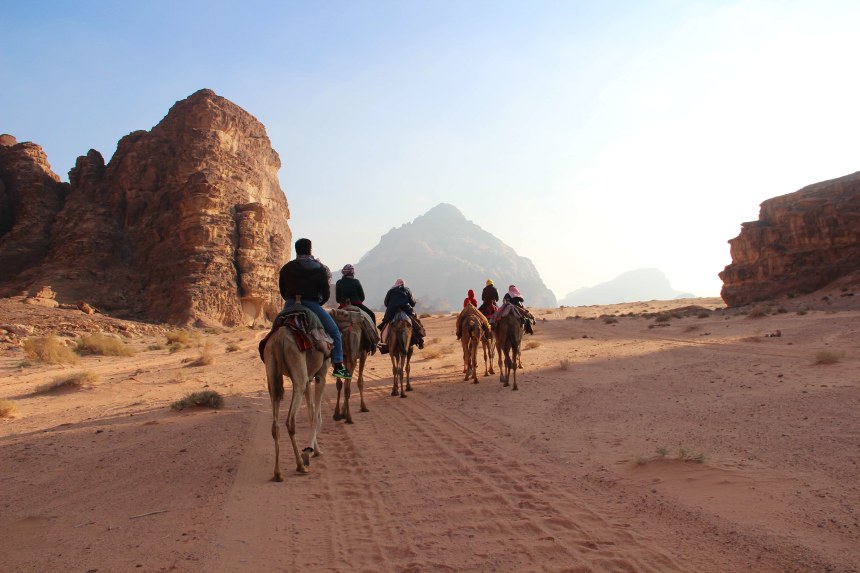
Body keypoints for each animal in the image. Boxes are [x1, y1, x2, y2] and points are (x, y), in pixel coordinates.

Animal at [263, 325, 329, 481]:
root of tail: (279, 339)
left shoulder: (309, 377)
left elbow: (311, 414)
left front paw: (314, 450)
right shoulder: (321, 374)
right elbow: (317, 417)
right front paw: (312, 451)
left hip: (272, 373)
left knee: (275, 425)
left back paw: (278, 473)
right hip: (298, 370)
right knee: (290, 421)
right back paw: (300, 466)